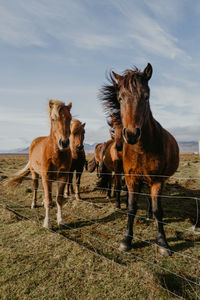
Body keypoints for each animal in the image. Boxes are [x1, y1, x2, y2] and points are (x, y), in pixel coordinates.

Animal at [4, 99, 72, 229]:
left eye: (70, 119)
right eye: (53, 119)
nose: (64, 143)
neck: (55, 154)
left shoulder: (62, 177)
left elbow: (59, 199)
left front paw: (61, 220)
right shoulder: (46, 177)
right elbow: (49, 200)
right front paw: (47, 223)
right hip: (35, 174)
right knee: (35, 188)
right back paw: (34, 204)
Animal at [100, 63, 180, 255]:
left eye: (146, 96)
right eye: (120, 98)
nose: (131, 134)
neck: (142, 148)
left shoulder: (157, 180)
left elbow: (158, 210)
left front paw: (163, 243)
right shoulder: (131, 179)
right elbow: (131, 207)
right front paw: (126, 240)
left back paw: (150, 216)